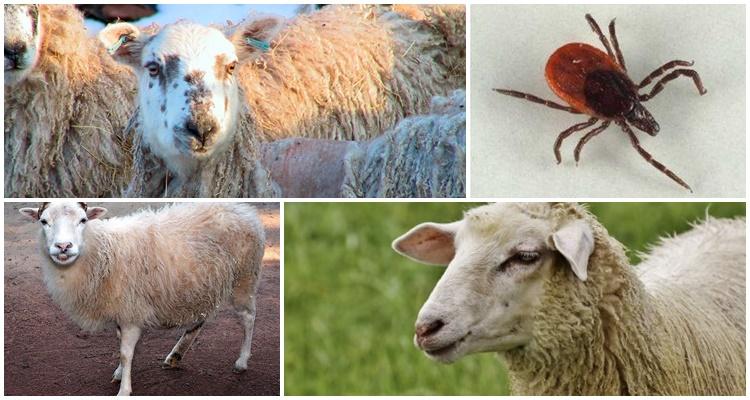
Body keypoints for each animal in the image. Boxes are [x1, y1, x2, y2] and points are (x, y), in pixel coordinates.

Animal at [19, 202, 266, 396]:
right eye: (43, 221)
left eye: (83, 220)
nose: (63, 246)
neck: (101, 251)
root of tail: (245, 210)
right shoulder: (123, 309)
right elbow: (121, 346)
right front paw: (120, 373)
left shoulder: (131, 311)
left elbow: (126, 353)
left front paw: (124, 390)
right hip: (201, 285)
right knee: (199, 318)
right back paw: (175, 355)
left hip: (244, 278)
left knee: (248, 317)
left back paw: (242, 361)